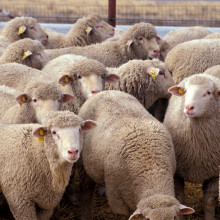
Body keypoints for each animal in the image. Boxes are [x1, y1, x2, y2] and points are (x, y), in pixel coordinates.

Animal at [78, 90, 194, 220]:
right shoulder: (116, 199)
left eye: (174, 217)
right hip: (83, 165)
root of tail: (106, 91)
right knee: (86, 192)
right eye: (148, 219)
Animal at [163, 73, 220, 219]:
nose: (189, 107)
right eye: (185, 91)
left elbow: (209, 202)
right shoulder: (176, 173)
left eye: (208, 93)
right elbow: (179, 199)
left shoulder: (215, 174)